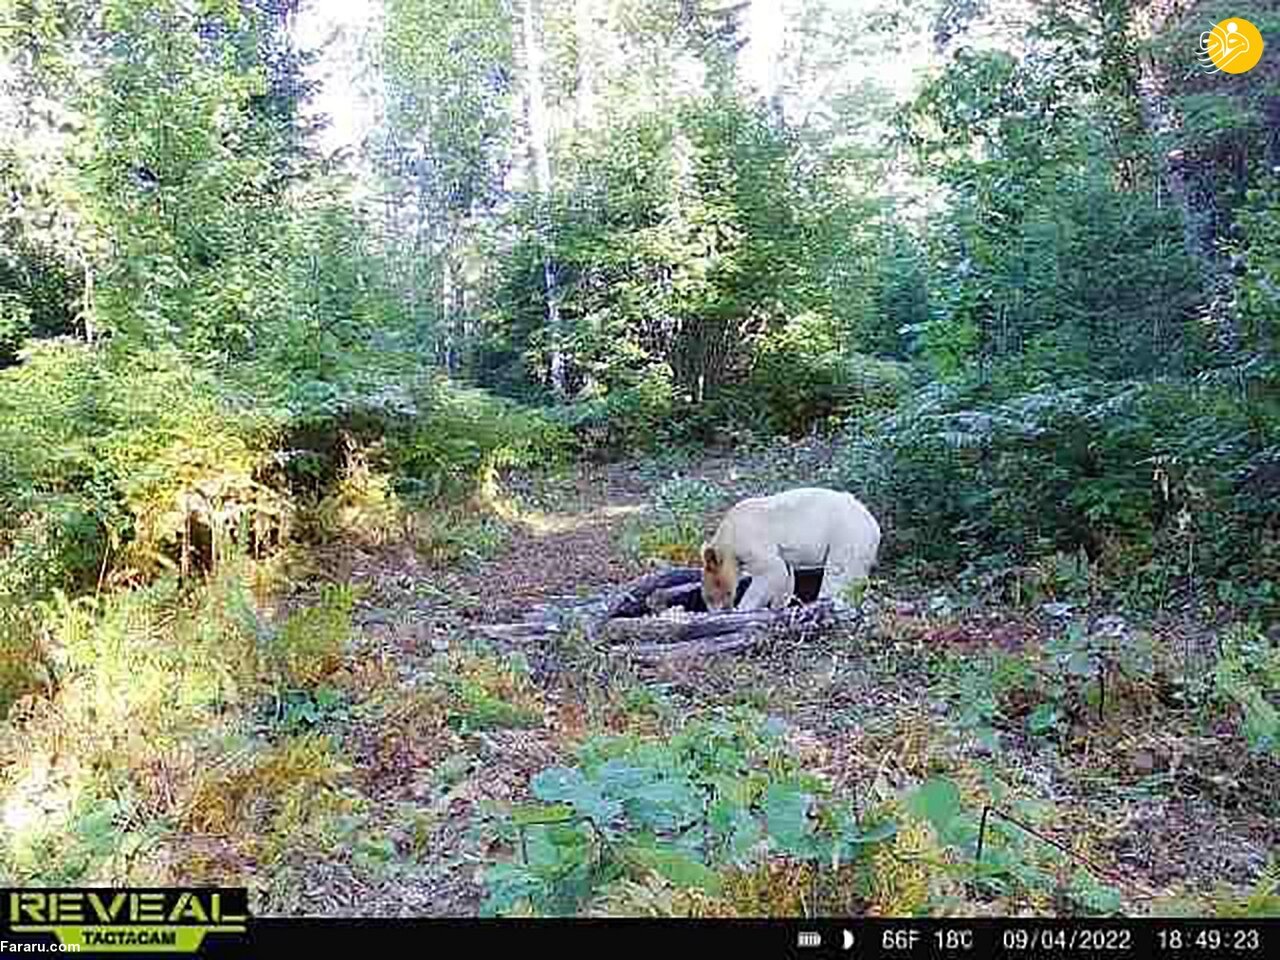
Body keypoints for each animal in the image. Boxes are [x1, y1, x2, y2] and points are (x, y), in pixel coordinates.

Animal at [701, 491, 880, 611]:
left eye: (710, 595)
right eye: (706, 597)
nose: (715, 610)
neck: (728, 534)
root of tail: (874, 526)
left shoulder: (749, 540)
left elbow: (772, 570)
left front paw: (744, 608)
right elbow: (786, 575)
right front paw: (778, 605)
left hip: (845, 535)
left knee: (836, 574)